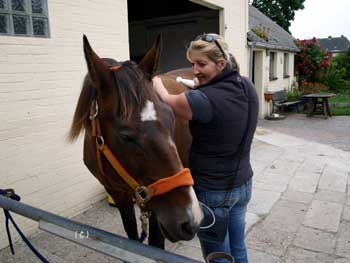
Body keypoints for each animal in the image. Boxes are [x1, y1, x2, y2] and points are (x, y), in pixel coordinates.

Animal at [67, 35, 202, 250]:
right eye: (125, 136)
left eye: (171, 118)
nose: (190, 220)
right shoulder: (118, 193)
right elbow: (130, 235)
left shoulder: (154, 205)